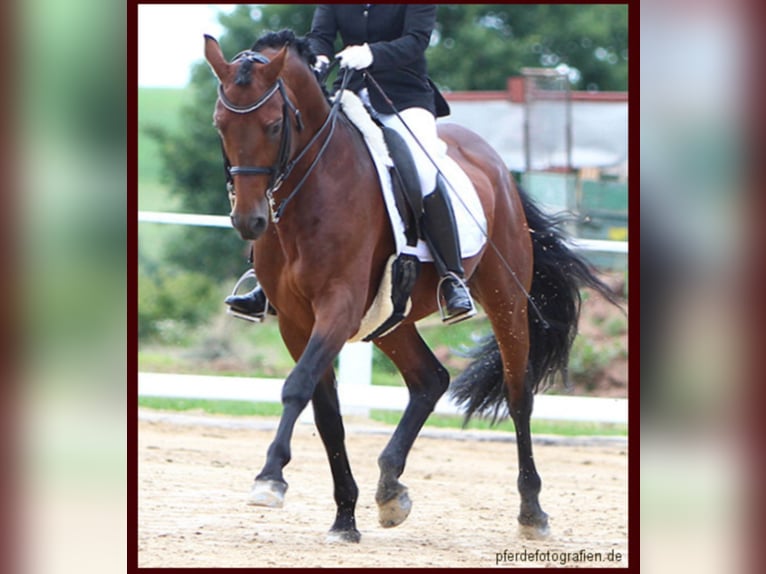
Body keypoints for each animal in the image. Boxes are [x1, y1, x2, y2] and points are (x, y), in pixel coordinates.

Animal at [206, 30, 624, 544]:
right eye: (221, 125)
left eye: (272, 125)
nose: (249, 221)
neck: (314, 190)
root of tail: (496, 164)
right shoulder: (297, 322)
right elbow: (327, 415)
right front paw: (344, 519)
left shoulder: (338, 307)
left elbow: (296, 387)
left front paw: (269, 478)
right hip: (389, 317)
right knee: (430, 379)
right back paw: (390, 489)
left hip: (504, 298)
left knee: (518, 394)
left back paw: (532, 512)